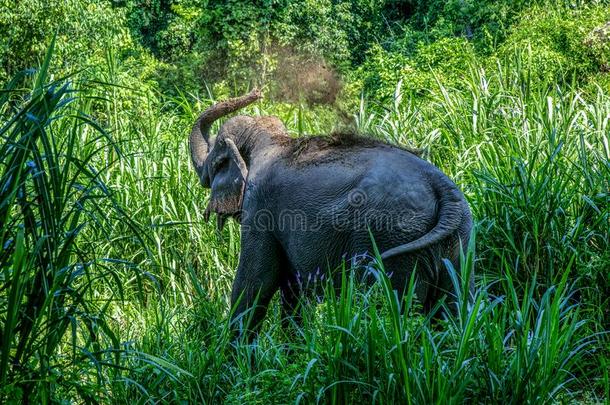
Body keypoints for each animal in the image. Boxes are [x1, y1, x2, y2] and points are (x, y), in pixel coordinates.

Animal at [188, 88, 472, 334]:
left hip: (391, 237)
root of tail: (443, 186)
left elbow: (255, 282)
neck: (271, 140)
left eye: (216, 162)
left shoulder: (260, 209)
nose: (258, 92)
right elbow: (293, 290)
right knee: (451, 309)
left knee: (389, 306)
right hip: (458, 242)